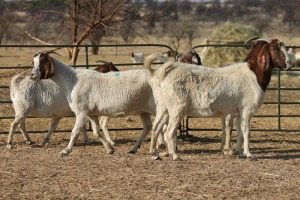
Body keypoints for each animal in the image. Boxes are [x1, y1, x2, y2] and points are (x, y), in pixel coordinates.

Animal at [145, 37, 292, 160]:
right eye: (275, 49)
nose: (289, 64)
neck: (254, 74)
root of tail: (163, 73)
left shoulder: (238, 112)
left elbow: (239, 131)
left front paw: (239, 152)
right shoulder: (247, 110)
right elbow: (246, 132)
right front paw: (249, 154)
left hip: (163, 107)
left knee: (156, 127)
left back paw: (155, 154)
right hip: (177, 108)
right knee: (169, 131)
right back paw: (175, 156)